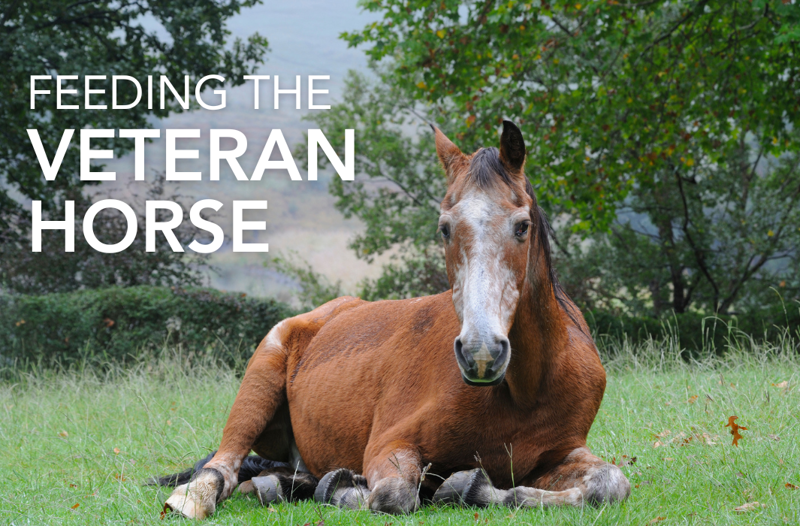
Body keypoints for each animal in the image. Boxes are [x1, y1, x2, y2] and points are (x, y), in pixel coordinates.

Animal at [157, 121, 630, 518]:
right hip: (258, 382)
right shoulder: (390, 443)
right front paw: (353, 490)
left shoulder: (559, 455)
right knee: (224, 466)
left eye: (522, 226)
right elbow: (394, 494)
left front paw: (468, 486)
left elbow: (610, 483)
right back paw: (202, 496)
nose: (481, 353)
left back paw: (288, 484)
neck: (525, 388)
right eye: (444, 228)